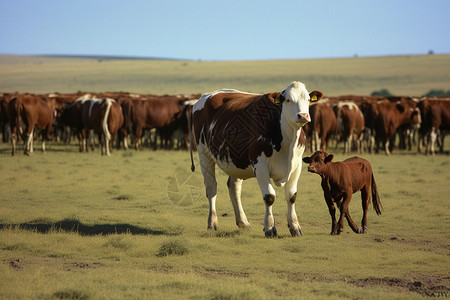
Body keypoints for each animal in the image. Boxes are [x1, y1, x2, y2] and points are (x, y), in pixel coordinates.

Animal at [192, 81, 322, 237]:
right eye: (288, 100)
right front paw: (270, 228)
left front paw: (295, 227)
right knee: (211, 188)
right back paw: (212, 223)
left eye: (308, 99)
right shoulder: (260, 165)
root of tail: (209, 95)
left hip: (236, 161)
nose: (303, 115)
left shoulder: (297, 166)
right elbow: (269, 197)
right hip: (204, 154)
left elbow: (291, 196)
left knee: (234, 188)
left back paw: (243, 222)